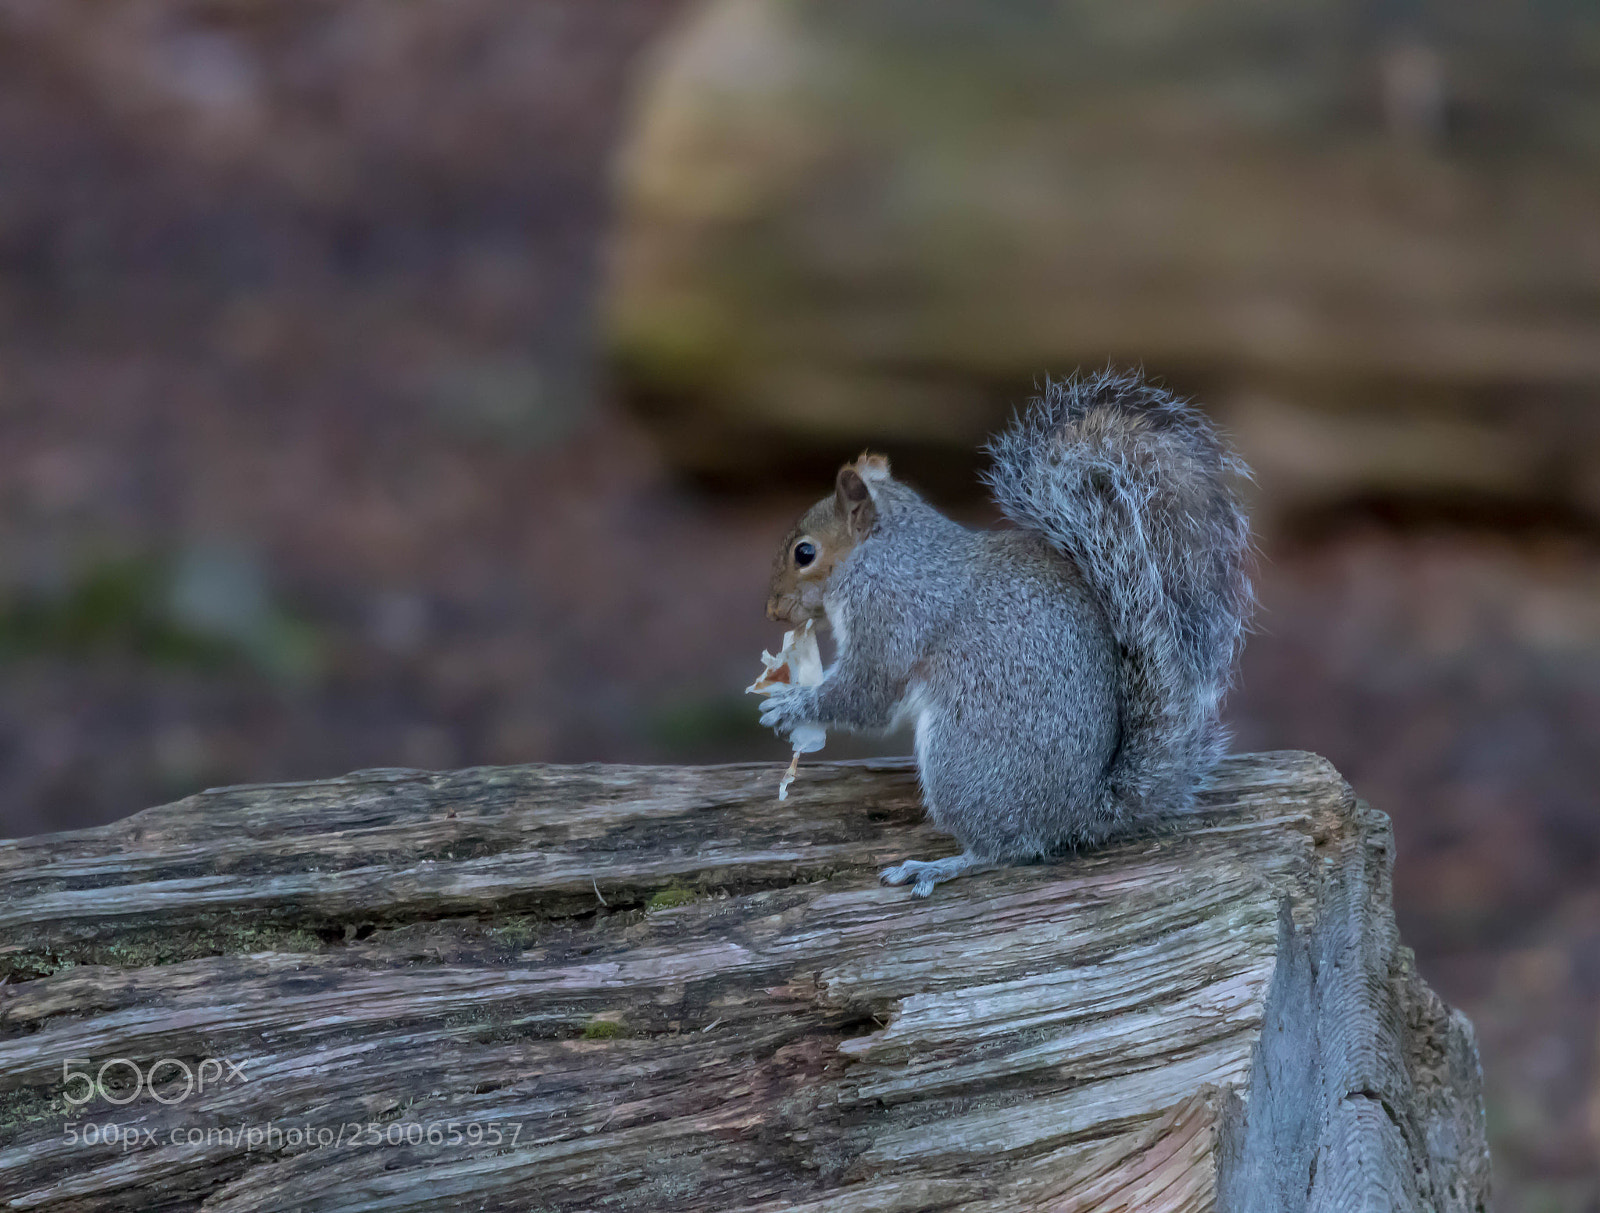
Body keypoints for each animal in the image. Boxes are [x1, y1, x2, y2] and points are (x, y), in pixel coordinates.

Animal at [759, 368, 1254, 897]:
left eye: (805, 553)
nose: (772, 611)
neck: (885, 556)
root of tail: (1082, 811)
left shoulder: (893, 617)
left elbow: (866, 694)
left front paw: (788, 704)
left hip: (962, 760)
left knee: (1005, 849)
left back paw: (940, 865)